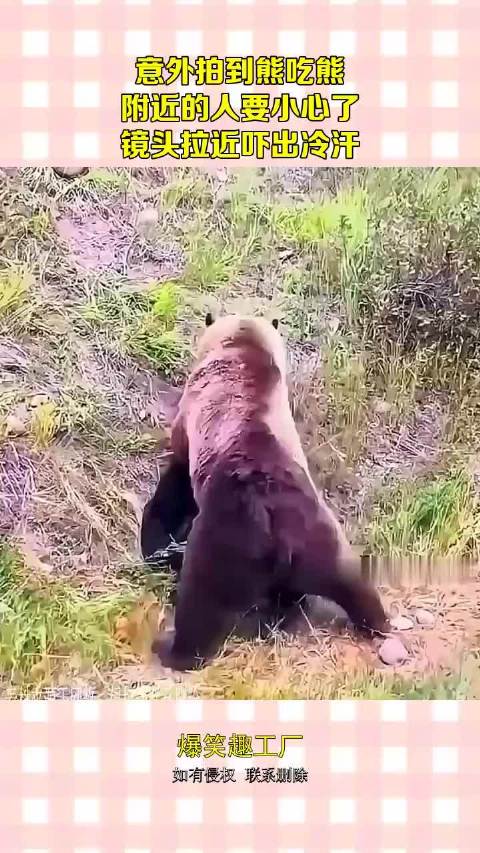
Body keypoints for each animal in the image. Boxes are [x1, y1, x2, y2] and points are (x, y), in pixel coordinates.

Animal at [142, 312, 389, 671]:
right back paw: (375, 622)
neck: (243, 347)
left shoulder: (192, 420)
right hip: (319, 535)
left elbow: (176, 484)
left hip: (225, 537)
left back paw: (174, 649)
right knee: (350, 581)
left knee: (200, 600)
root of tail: (277, 527)